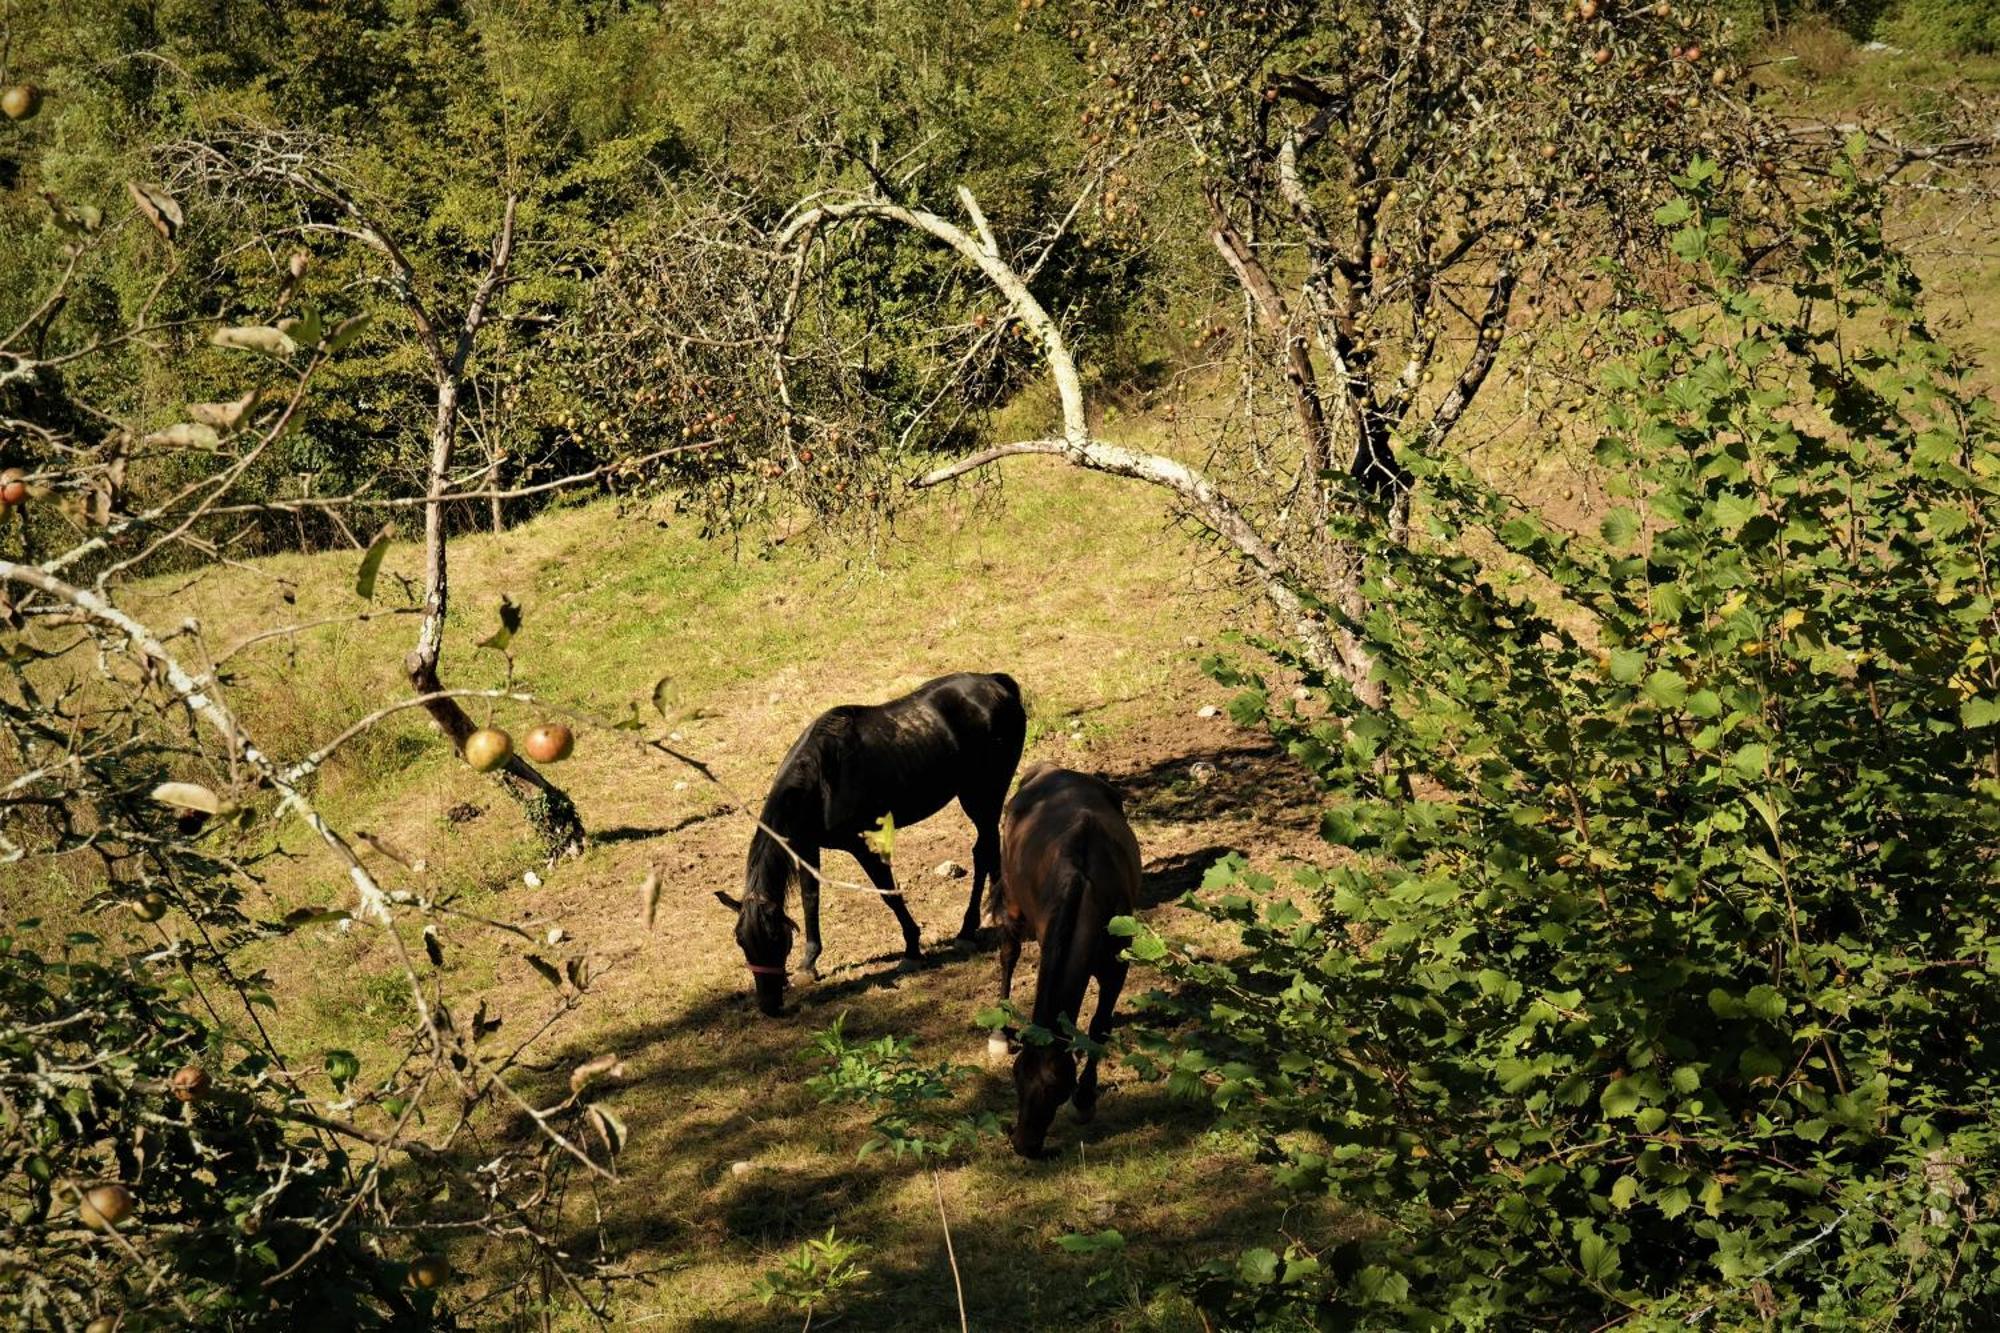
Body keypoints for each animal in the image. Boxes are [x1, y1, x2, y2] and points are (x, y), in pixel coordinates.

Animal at [716, 668, 1024, 1012]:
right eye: (741, 941)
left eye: (776, 939)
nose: (769, 1005)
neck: (819, 782)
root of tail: (996, 682)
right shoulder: (806, 847)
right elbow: (811, 899)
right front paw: (809, 964)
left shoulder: (862, 845)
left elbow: (887, 893)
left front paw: (912, 949)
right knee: (990, 849)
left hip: (982, 794)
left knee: (984, 850)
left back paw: (968, 930)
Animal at [996, 756, 1144, 1152]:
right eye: (1016, 1077)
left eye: (1058, 1088)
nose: (1025, 1145)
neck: (1085, 885)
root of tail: (1048, 769)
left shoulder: (1115, 968)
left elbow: (1099, 1027)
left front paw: (1085, 1101)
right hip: (1012, 901)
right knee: (1008, 953)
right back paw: (999, 1030)